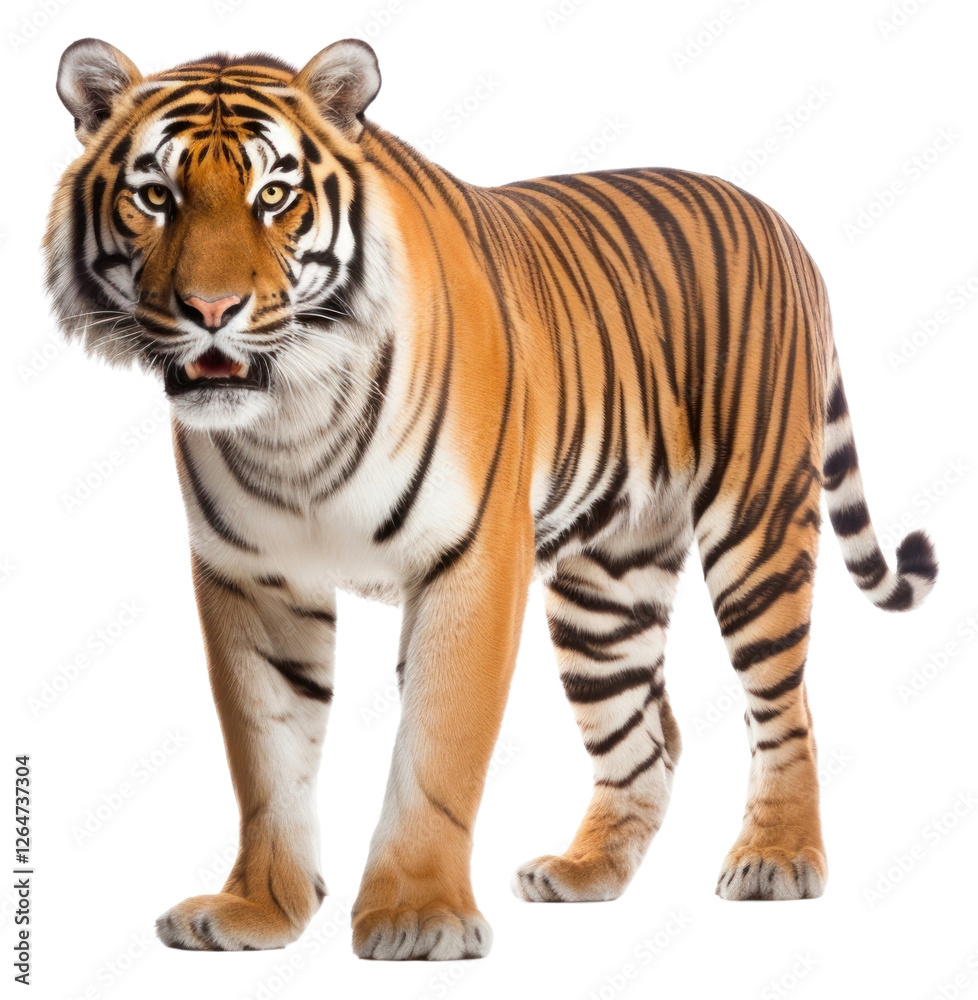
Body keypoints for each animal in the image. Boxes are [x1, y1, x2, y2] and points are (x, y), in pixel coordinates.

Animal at [46, 37, 938, 960]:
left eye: (275, 197)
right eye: (156, 196)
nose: (212, 310)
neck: (292, 419)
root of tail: (777, 219)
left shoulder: (469, 560)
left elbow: (438, 748)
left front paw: (418, 915)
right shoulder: (254, 579)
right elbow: (266, 761)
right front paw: (258, 908)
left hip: (756, 528)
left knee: (786, 705)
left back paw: (778, 858)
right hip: (604, 588)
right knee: (647, 734)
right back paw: (585, 873)